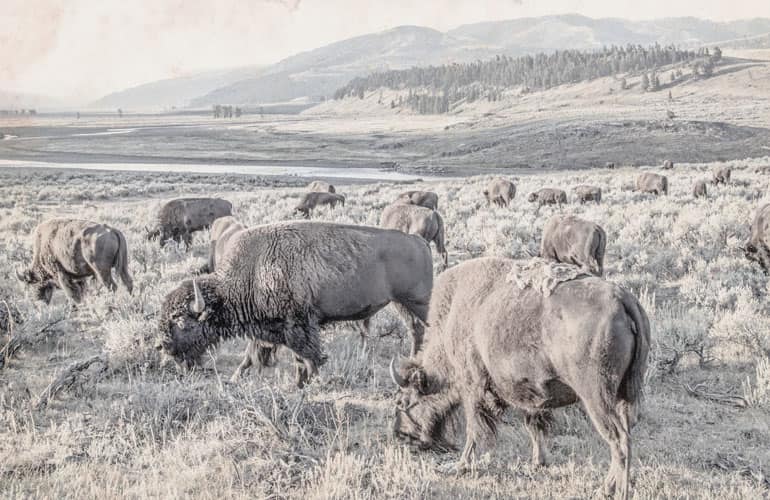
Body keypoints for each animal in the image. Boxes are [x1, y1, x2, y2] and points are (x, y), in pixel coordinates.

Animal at [158, 221, 432, 388]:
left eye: (181, 321)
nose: (164, 346)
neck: (251, 272)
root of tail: (419, 241)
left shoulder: (298, 324)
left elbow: (308, 355)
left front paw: (313, 381)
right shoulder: (272, 329)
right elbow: (264, 355)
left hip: (417, 302)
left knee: (424, 328)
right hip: (402, 303)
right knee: (415, 330)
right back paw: (413, 359)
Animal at [390, 258, 648, 500]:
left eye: (403, 403)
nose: (401, 435)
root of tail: (622, 298)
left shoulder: (471, 386)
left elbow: (473, 429)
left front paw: (461, 465)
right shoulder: (531, 395)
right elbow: (534, 426)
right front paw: (538, 462)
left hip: (597, 398)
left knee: (618, 441)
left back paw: (613, 491)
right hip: (625, 395)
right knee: (625, 435)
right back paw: (607, 488)